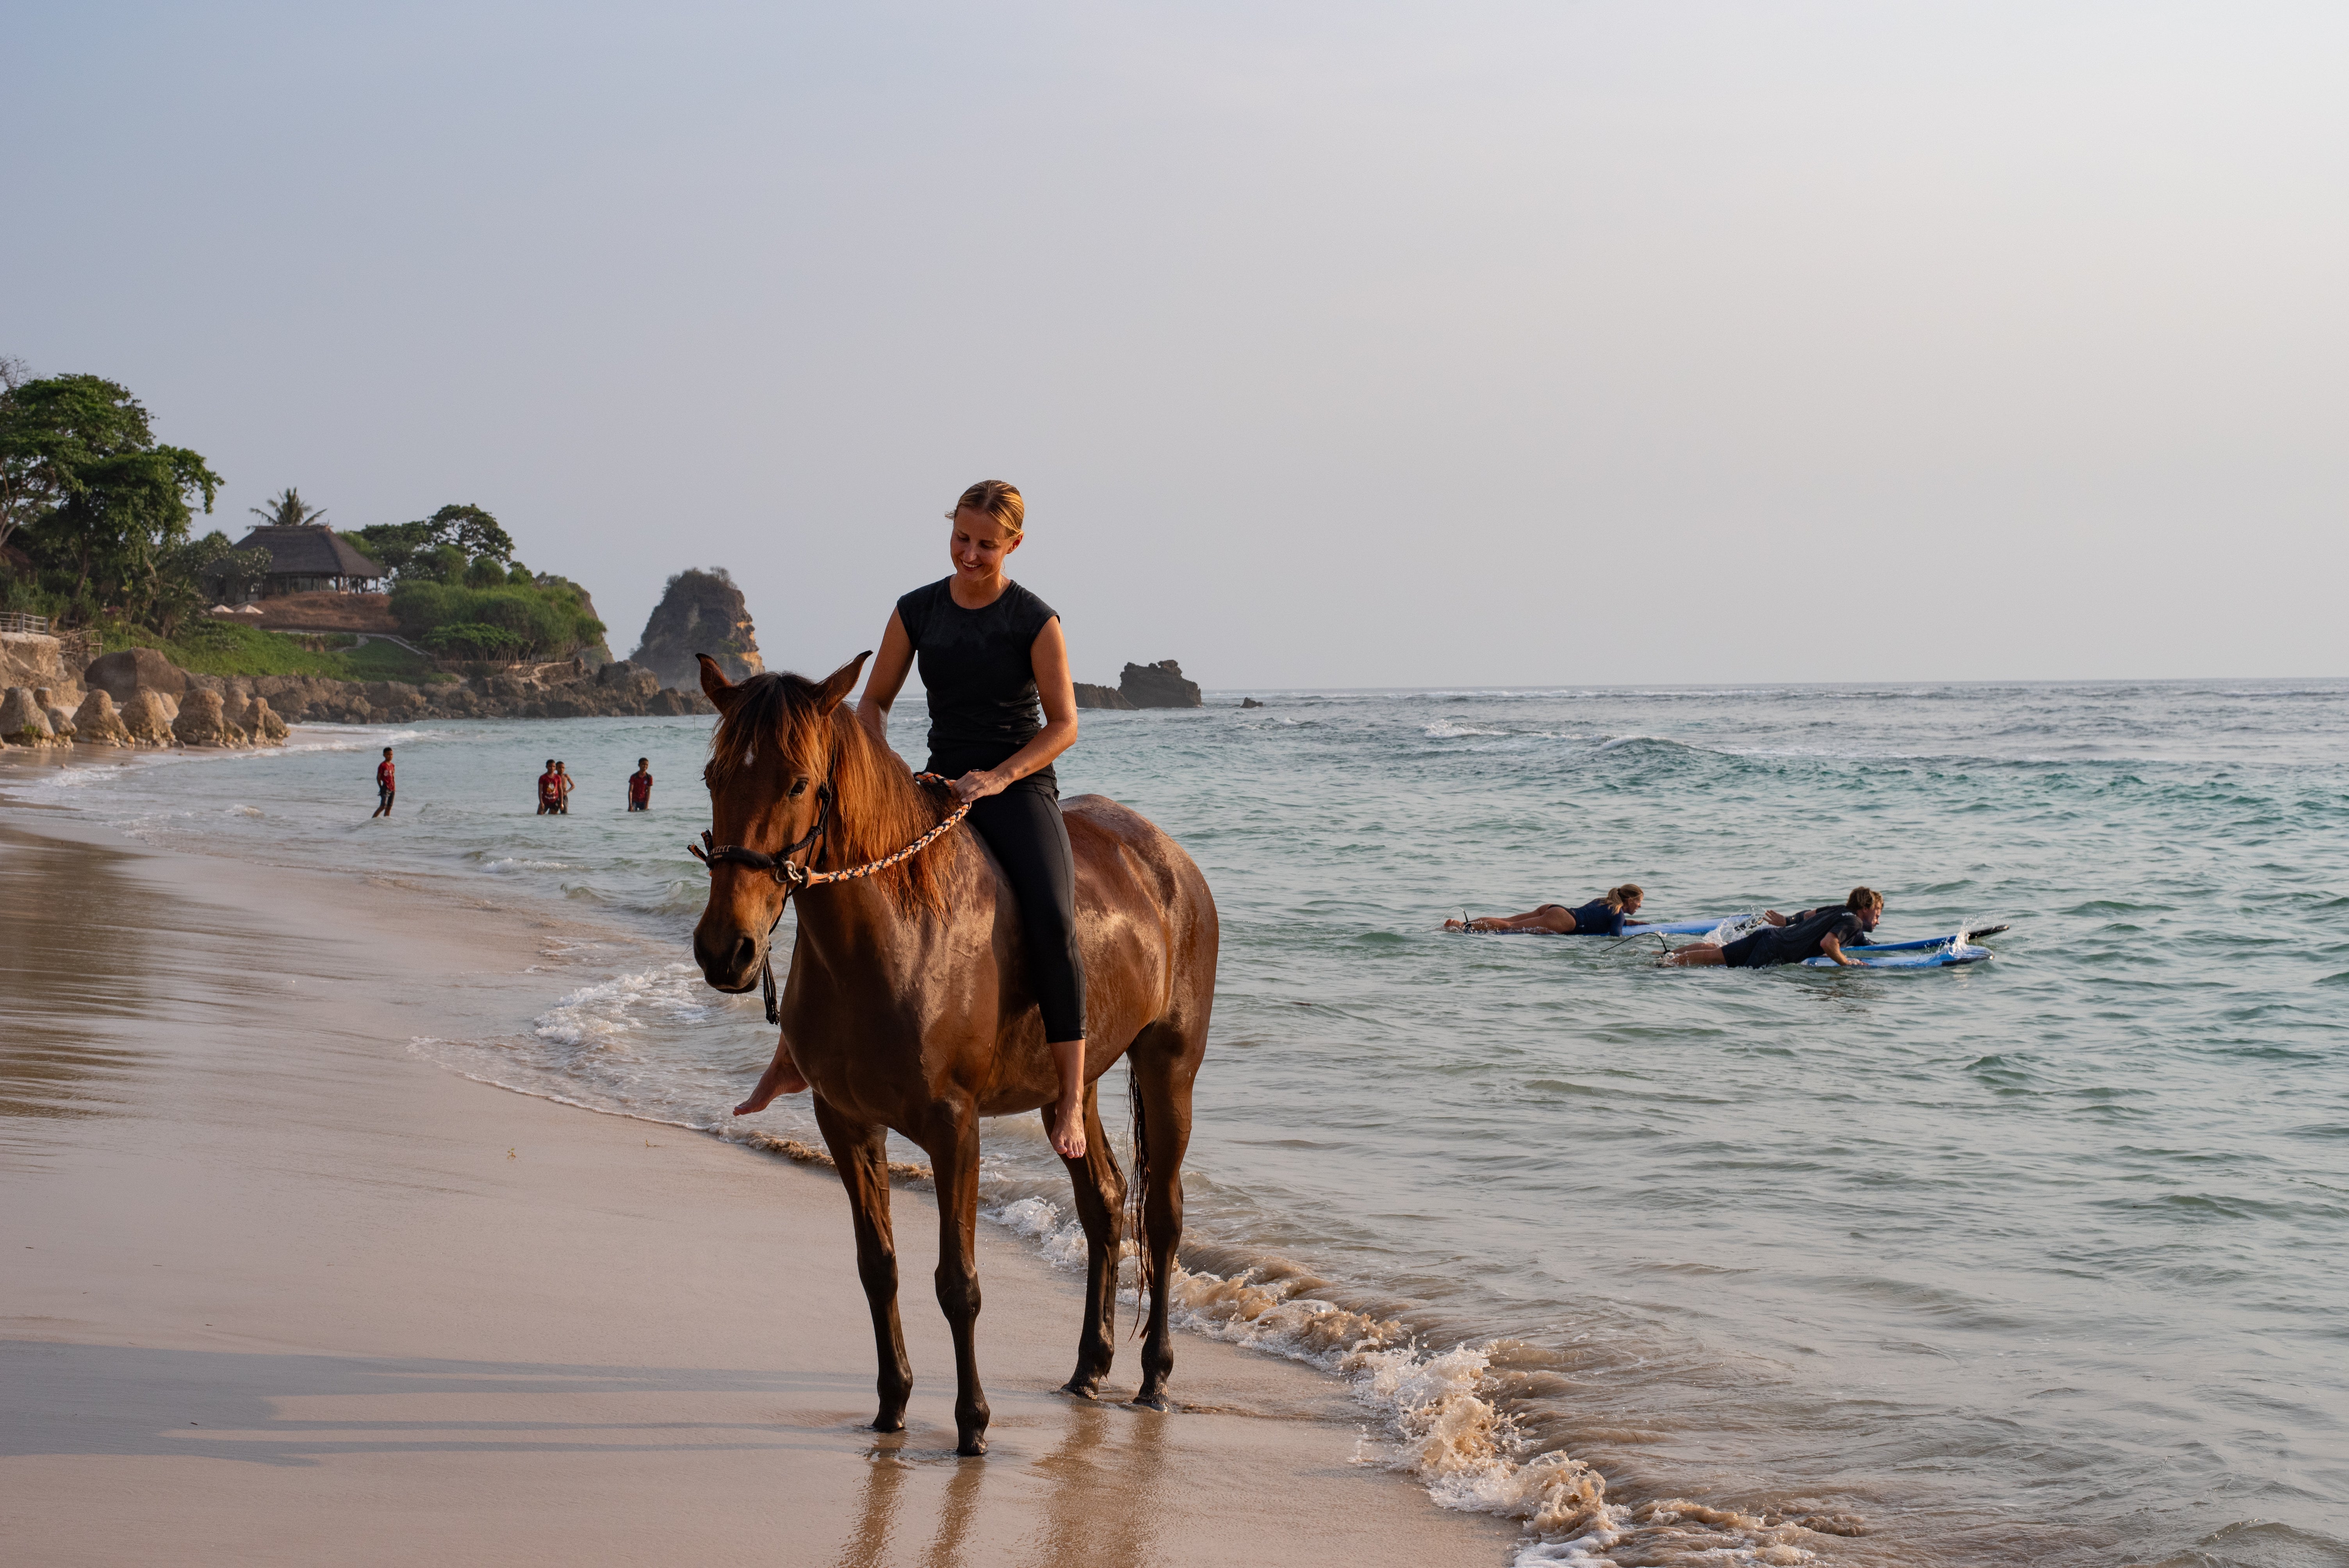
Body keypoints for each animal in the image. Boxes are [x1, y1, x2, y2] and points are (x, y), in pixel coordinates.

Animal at [686, 652, 1221, 1455]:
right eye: (714, 776)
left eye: (798, 783)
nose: (726, 950)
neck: (894, 938)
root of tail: (1169, 858)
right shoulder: (845, 1122)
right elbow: (878, 1268)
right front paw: (892, 1406)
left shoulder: (953, 1126)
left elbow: (957, 1283)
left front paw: (972, 1425)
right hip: (1074, 1088)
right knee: (1104, 1201)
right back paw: (1088, 1367)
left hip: (1169, 1068)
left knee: (1162, 1216)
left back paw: (1154, 1376)